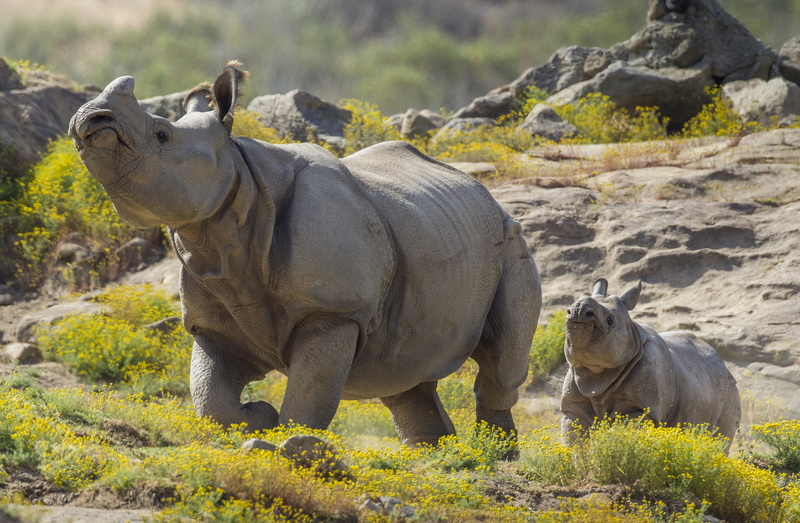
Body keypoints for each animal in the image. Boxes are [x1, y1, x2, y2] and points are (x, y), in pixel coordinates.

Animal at [68, 62, 542, 450]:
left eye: (162, 134)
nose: (90, 120)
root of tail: (488, 196)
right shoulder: (214, 317)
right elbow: (210, 398)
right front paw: (256, 418)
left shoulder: (333, 311)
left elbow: (310, 391)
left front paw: (285, 440)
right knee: (402, 373)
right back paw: (435, 453)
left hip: (511, 241)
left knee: (500, 358)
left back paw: (492, 454)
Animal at [560, 278, 741, 451]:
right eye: (567, 312)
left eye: (610, 320)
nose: (577, 311)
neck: (597, 371)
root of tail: (725, 366)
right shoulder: (573, 405)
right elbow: (575, 441)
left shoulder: (642, 407)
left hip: (730, 388)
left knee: (719, 440)